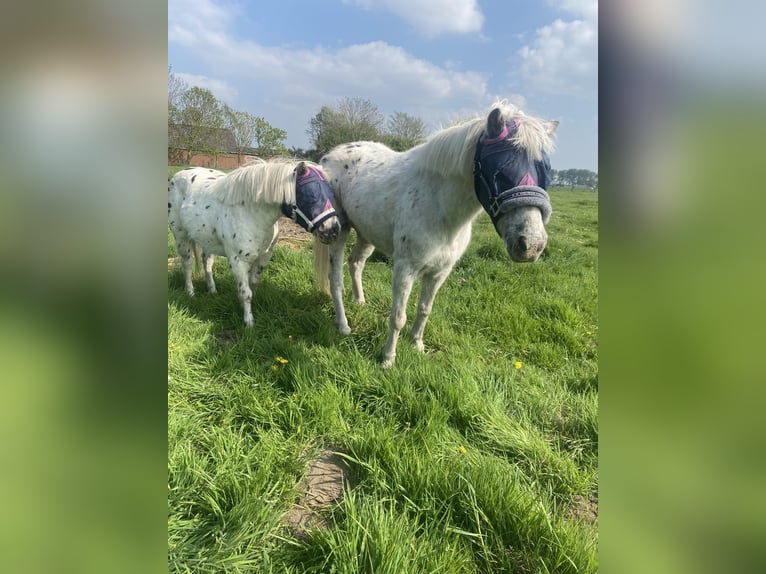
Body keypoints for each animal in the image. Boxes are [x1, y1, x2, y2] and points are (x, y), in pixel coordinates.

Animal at [168, 159, 340, 327]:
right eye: (310, 195)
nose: (333, 230)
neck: (251, 212)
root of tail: (177, 176)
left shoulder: (264, 256)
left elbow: (253, 284)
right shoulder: (238, 261)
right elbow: (246, 293)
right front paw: (249, 322)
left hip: (207, 240)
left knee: (207, 261)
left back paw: (212, 290)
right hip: (181, 237)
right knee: (187, 264)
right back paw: (190, 292)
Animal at [318, 102, 558, 367]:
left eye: (546, 170)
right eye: (500, 168)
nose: (531, 245)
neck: (438, 204)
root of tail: (331, 155)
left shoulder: (440, 271)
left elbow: (425, 309)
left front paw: (417, 345)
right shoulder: (405, 269)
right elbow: (398, 316)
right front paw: (388, 360)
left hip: (367, 234)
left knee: (356, 263)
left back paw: (360, 302)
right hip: (339, 231)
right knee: (335, 279)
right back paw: (343, 325)